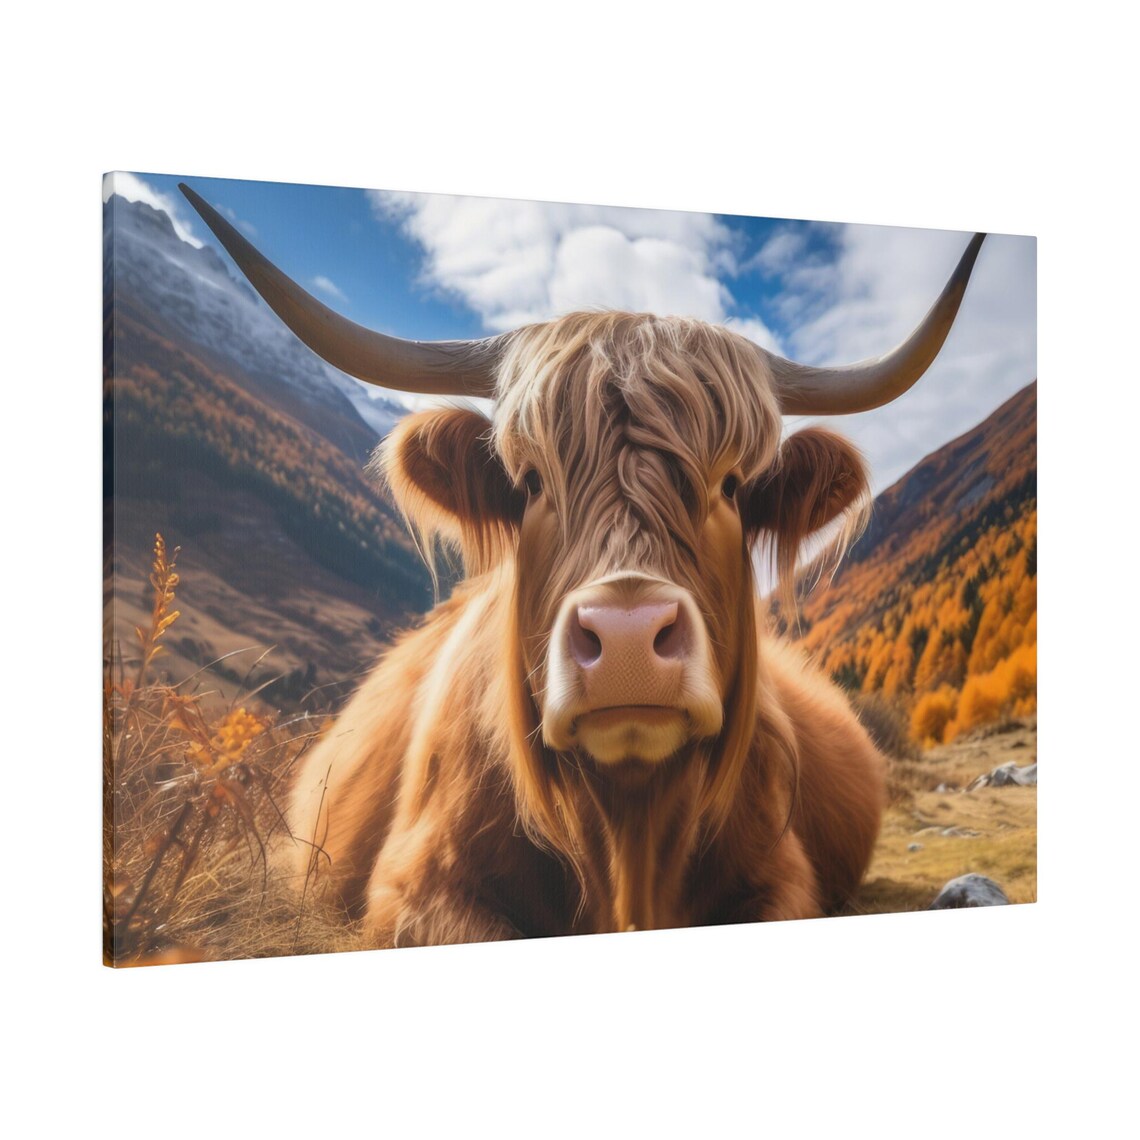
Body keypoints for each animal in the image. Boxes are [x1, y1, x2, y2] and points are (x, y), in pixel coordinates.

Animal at [180, 184, 984, 946]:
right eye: (532, 480)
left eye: (730, 484)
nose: (627, 640)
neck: (627, 830)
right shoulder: (413, 887)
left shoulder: (784, 876)